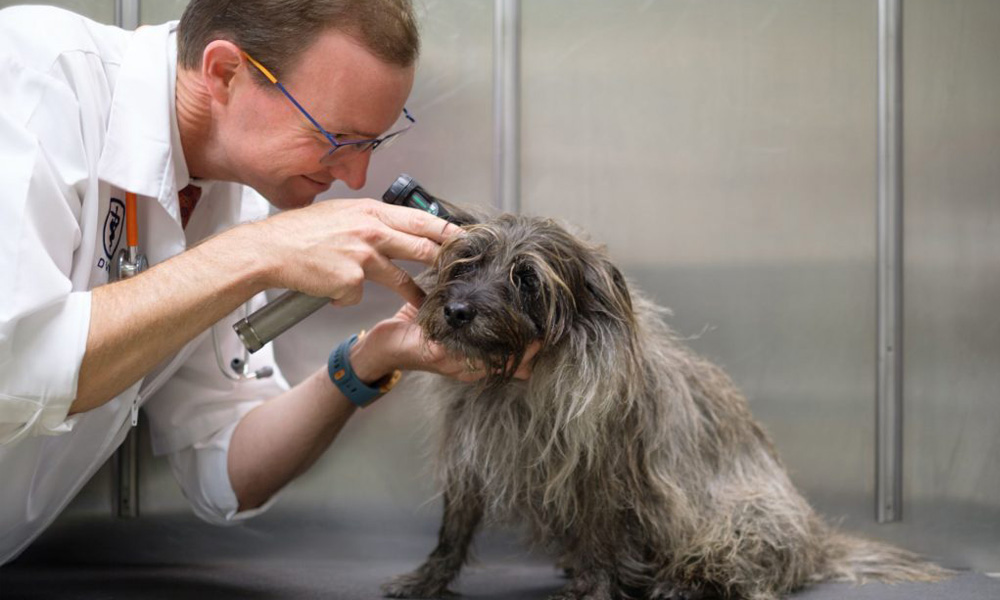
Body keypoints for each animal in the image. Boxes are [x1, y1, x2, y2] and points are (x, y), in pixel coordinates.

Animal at [378, 213, 948, 596]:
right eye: (464, 263)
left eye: (527, 280)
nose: (456, 311)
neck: (518, 382)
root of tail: (816, 542)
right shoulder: (469, 461)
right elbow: (453, 530)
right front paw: (426, 580)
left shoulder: (605, 475)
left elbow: (602, 538)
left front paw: (594, 589)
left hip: (747, 517)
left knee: (736, 566)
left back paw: (683, 580)